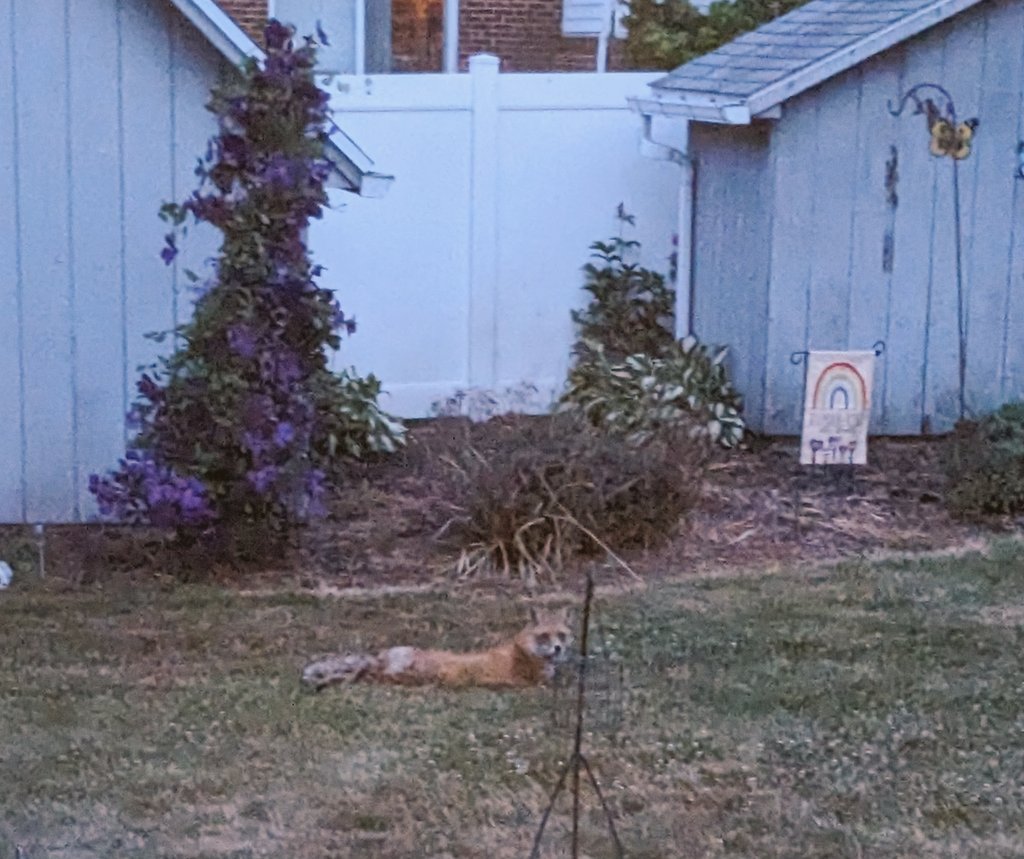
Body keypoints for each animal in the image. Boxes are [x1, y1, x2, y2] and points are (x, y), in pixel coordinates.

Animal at [303, 606, 573, 692]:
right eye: (545, 636)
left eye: (561, 635)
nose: (558, 649)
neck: (525, 650)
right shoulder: (539, 681)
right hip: (411, 672)